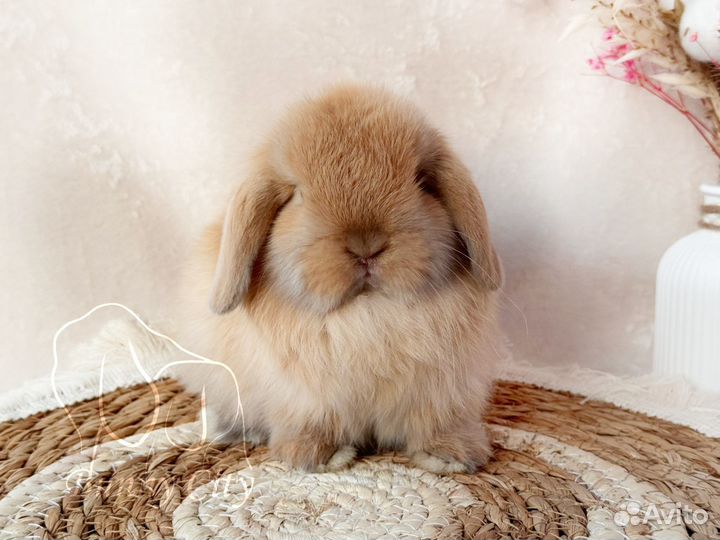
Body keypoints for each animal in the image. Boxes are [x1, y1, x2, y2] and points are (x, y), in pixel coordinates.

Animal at [176, 84, 505, 474]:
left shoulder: (443, 391)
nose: (366, 244)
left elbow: (437, 422)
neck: (367, 315)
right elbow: (312, 424)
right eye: (298, 194)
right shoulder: (304, 399)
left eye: (422, 182)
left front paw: (453, 454)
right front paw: (317, 455)